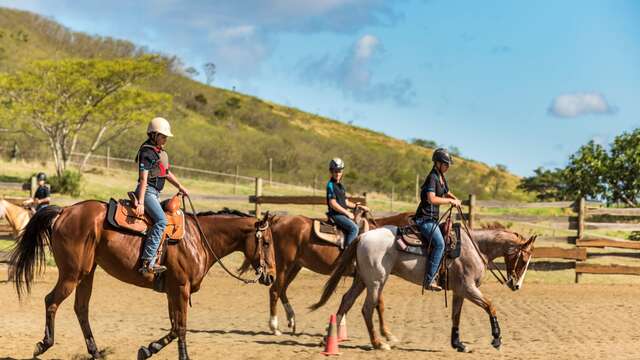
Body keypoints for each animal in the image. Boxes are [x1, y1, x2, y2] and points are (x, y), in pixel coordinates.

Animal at [10, 200, 276, 360]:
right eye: (266, 242)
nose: (271, 276)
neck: (199, 239)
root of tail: (64, 211)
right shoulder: (181, 289)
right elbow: (181, 327)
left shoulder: (172, 291)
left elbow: (173, 327)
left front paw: (147, 349)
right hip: (71, 274)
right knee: (51, 301)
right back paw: (43, 344)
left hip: (87, 273)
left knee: (81, 308)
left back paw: (96, 352)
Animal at [242, 207, 412, 336]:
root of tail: (279, 220)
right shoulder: (373, 277)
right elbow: (378, 302)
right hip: (284, 265)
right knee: (275, 291)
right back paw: (274, 327)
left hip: (295, 266)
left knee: (282, 289)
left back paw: (291, 320)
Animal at [312, 225, 536, 352]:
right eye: (524, 259)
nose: (517, 285)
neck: (475, 247)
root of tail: (363, 236)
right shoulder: (468, 288)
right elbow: (491, 306)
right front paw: (497, 339)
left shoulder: (459, 291)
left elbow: (456, 316)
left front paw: (458, 344)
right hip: (376, 282)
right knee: (367, 308)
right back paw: (379, 343)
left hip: (362, 280)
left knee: (346, 301)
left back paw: (329, 338)